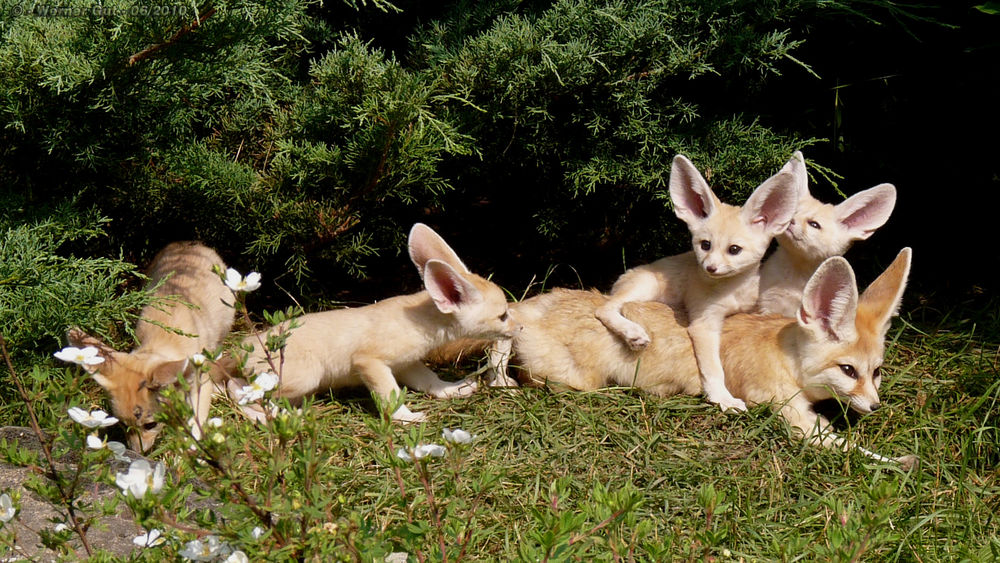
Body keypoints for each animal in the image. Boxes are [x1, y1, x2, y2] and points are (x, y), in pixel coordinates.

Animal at [69, 242, 237, 454]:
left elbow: (195, 424)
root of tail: (188, 244)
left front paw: (187, 455)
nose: (137, 453)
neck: (162, 339)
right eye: (124, 425)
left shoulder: (201, 382)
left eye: (151, 425)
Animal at [239, 224, 520, 424]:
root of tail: (244, 345)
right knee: (245, 397)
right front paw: (406, 417)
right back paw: (278, 417)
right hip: (304, 377)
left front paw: (450, 390)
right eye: (503, 315)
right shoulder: (369, 361)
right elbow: (390, 395)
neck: (420, 320)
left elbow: (429, 380)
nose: (521, 328)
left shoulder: (405, 363)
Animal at [492, 249, 916, 470]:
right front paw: (900, 464)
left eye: (876, 372)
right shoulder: (792, 415)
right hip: (570, 378)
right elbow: (847, 448)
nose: (875, 407)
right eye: (848, 370)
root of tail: (535, 306)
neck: (783, 354)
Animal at [592, 155, 796, 414]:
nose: (710, 268)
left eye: (734, 250)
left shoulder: (751, 309)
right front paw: (722, 397)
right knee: (605, 308)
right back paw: (632, 332)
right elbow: (713, 369)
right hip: (646, 287)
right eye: (705, 245)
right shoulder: (703, 324)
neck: (733, 291)